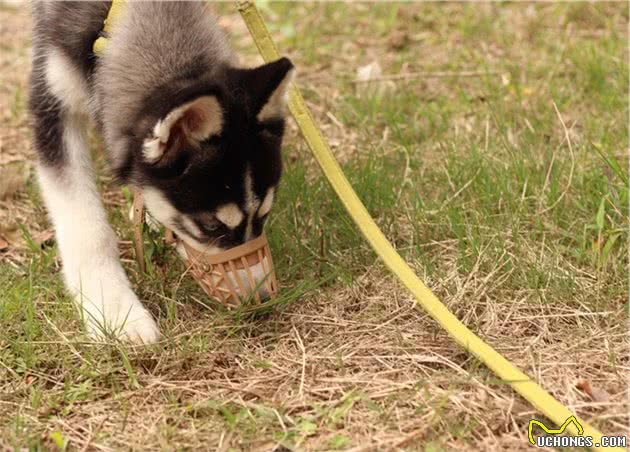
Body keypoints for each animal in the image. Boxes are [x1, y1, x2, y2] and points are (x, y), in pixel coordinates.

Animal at [29, 1, 294, 344]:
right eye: (210, 226)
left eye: (264, 214)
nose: (260, 299)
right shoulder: (51, 99)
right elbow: (86, 225)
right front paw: (113, 309)